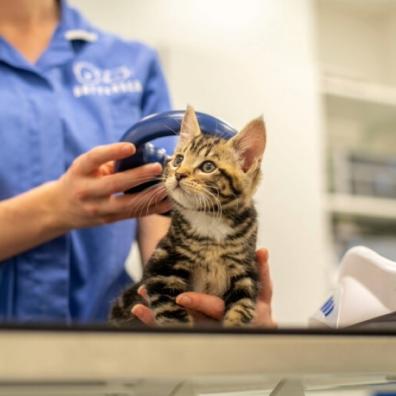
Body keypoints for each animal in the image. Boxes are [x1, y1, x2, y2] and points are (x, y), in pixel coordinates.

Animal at [110, 105, 268, 328]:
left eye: (208, 167)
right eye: (178, 160)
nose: (179, 174)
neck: (209, 221)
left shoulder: (246, 272)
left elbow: (242, 309)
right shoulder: (162, 264)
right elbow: (171, 314)